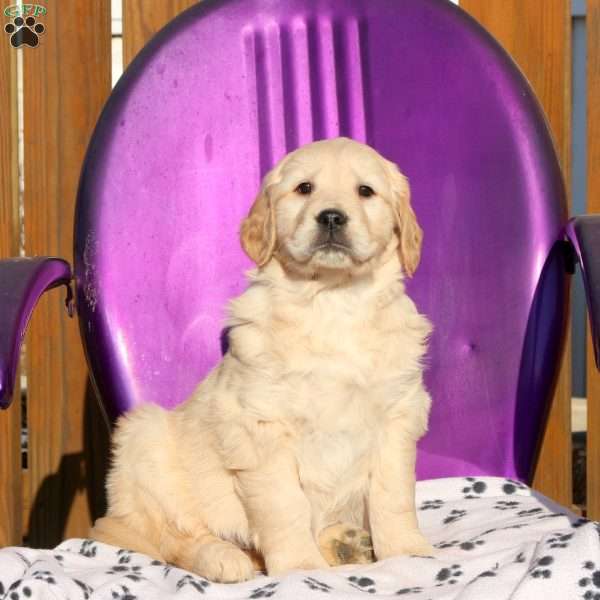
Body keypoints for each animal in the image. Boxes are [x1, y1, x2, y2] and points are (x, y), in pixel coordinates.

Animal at [91, 137, 432, 580]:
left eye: (365, 191)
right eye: (304, 188)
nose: (332, 217)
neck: (332, 300)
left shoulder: (396, 417)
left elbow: (393, 496)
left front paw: (408, 553)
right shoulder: (261, 425)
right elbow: (284, 505)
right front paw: (300, 567)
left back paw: (343, 544)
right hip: (143, 439)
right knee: (173, 537)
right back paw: (223, 557)